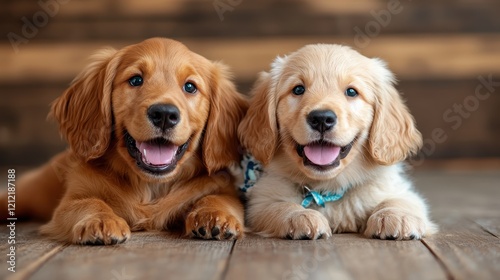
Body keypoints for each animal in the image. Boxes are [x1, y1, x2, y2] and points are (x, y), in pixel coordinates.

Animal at [1, 37, 248, 245]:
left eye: (190, 87)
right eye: (136, 80)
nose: (164, 114)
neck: (150, 186)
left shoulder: (221, 185)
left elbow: (219, 198)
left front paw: (215, 216)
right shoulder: (71, 199)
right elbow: (88, 202)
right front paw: (101, 220)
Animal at [238, 44, 438, 241]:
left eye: (351, 92)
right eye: (298, 89)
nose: (321, 118)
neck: (329, 188)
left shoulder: (396, 188)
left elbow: (401, 200)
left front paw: (395, 216)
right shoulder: (262, 198)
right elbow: (279, 205)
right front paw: (300, 216)